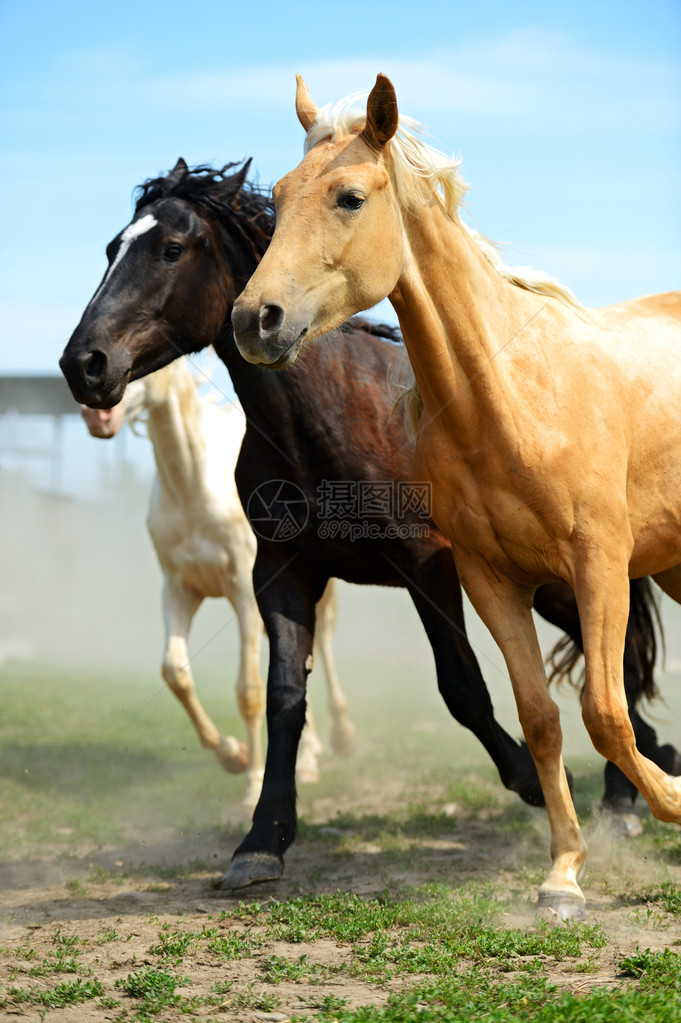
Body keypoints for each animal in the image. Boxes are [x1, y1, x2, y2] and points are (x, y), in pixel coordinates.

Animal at [82, 356, 351, 810]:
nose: (96, 415)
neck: (195, 484)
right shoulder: (178, 589)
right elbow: (175, 672)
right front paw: (233, 756)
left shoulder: (244, 589)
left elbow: (249, 691)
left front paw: (254, 785)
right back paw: (308, 757)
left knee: (326, 644)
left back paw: (339, 738)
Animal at [229, 74, 678, 920]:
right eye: (276, 195)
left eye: (347, 196)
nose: (253, 318)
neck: (513, 400)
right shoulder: (489, 578)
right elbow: (540, 719)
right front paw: (562, 873)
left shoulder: (599, 565)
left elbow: (604, 712)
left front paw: (670, 799)